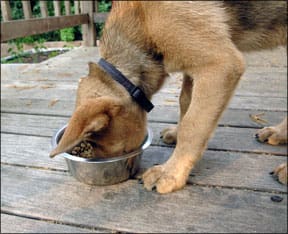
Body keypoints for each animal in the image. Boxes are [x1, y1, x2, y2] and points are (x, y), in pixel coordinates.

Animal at [49, 0, 286, 193]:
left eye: (97, 140)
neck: (142, 18)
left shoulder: (220, 65)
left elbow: (193, 125)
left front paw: (171, 173)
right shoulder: (193, 68)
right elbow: (185, 104)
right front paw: (177, 134)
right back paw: (279, 133)